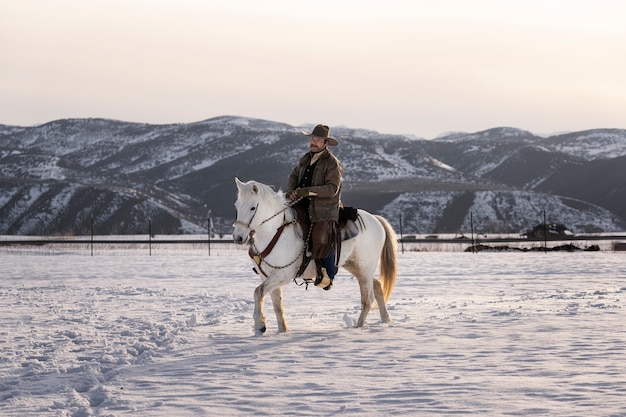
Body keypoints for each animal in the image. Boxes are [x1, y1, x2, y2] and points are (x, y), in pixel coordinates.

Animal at [229, 177, 394, 334]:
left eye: (252, 207)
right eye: (236, 205)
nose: (238, 237)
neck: (274, 232)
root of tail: (375, 219)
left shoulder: (282, 276)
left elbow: (258, 292)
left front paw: (259, 325)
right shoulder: (267, 277)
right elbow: (276, 305)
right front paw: (281, 330)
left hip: (365, 269)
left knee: (367, 299)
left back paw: (359, 326)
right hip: (355, 267)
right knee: (377, 286)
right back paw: (385, 318)